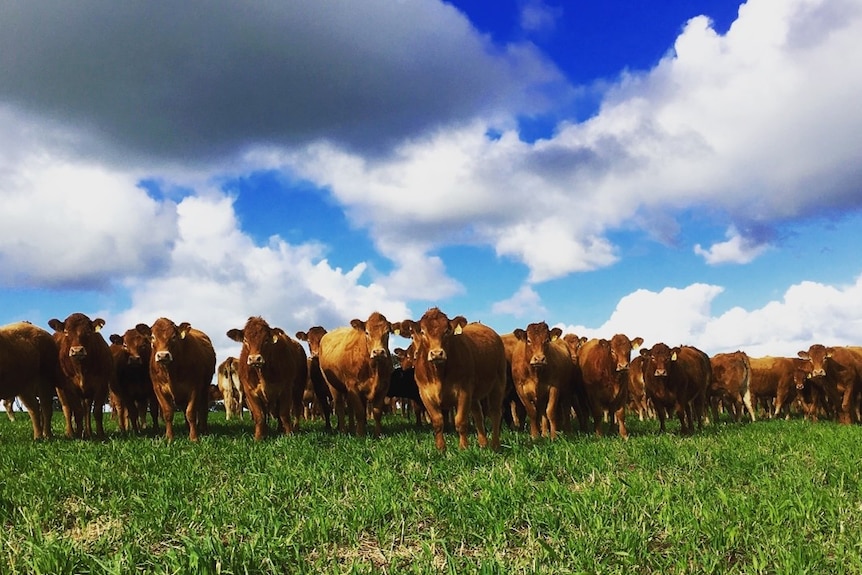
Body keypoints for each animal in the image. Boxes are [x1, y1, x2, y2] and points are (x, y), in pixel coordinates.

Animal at [396, 308, 510, 452]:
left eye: (447, 331)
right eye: (422, 332)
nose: (437, 353)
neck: (438, 374)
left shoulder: (464, 391)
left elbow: (460, 421)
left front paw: (463, 448)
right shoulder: (425, 394)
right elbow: (437, 422)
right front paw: (441, 449)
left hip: (498, 383)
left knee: (495, 413)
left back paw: (495, 445)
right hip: (474, 395)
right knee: (478, 415)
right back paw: (483, 444)